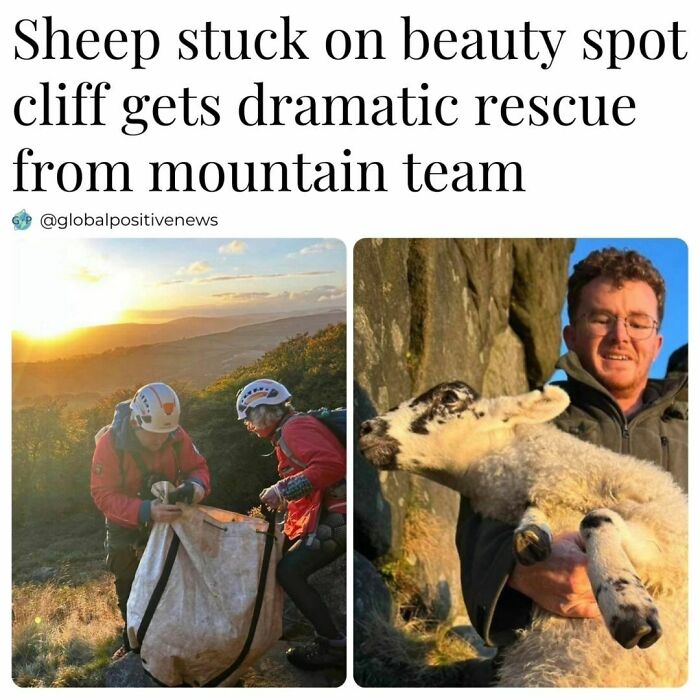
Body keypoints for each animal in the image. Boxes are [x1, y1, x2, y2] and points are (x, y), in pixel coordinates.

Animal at [358, 381, 687, 687]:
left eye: (449, 398)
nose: (366, 428)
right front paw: (531, 536)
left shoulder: (671, 534)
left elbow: (595, 519)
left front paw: (628, 607)